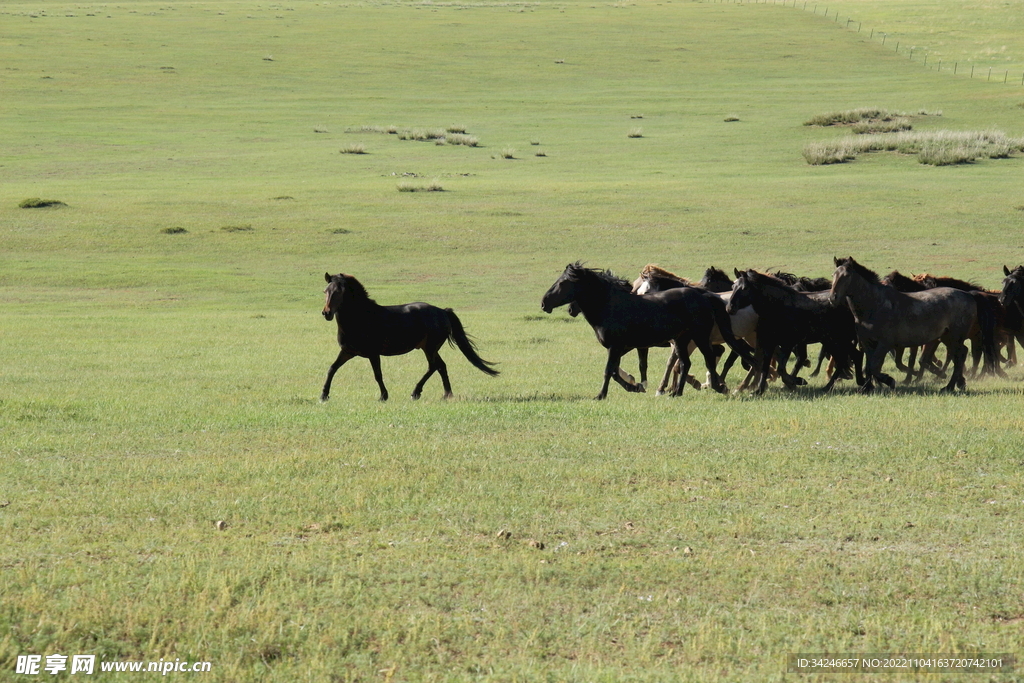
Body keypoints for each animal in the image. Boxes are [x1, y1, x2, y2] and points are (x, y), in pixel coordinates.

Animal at [317, 272, 497, 401]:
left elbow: (377, 374)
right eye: (325, 291)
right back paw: (447, 394)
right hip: (429, 348)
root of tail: (443, 311)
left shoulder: (373, 353)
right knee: (441, 366)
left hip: (430, 348)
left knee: (433, 366)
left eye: (340, 291)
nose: (327, 313)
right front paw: (324, 395)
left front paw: (383, 396)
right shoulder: (347, 352)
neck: (361, 318)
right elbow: (332, 369)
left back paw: (416, 392)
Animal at [540, 264, 749, 401]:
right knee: (685, 363)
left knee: (708, 359)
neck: (610, 307)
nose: (544, 303)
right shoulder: (623, 347)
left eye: (563, 282)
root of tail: (703, 295)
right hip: (682, 340)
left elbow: (609, 370)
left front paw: (602, 395)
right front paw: (635, 387)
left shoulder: (617, 346)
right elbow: (617, 370)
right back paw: (677, 392)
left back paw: (717, 387)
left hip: (699, 337)